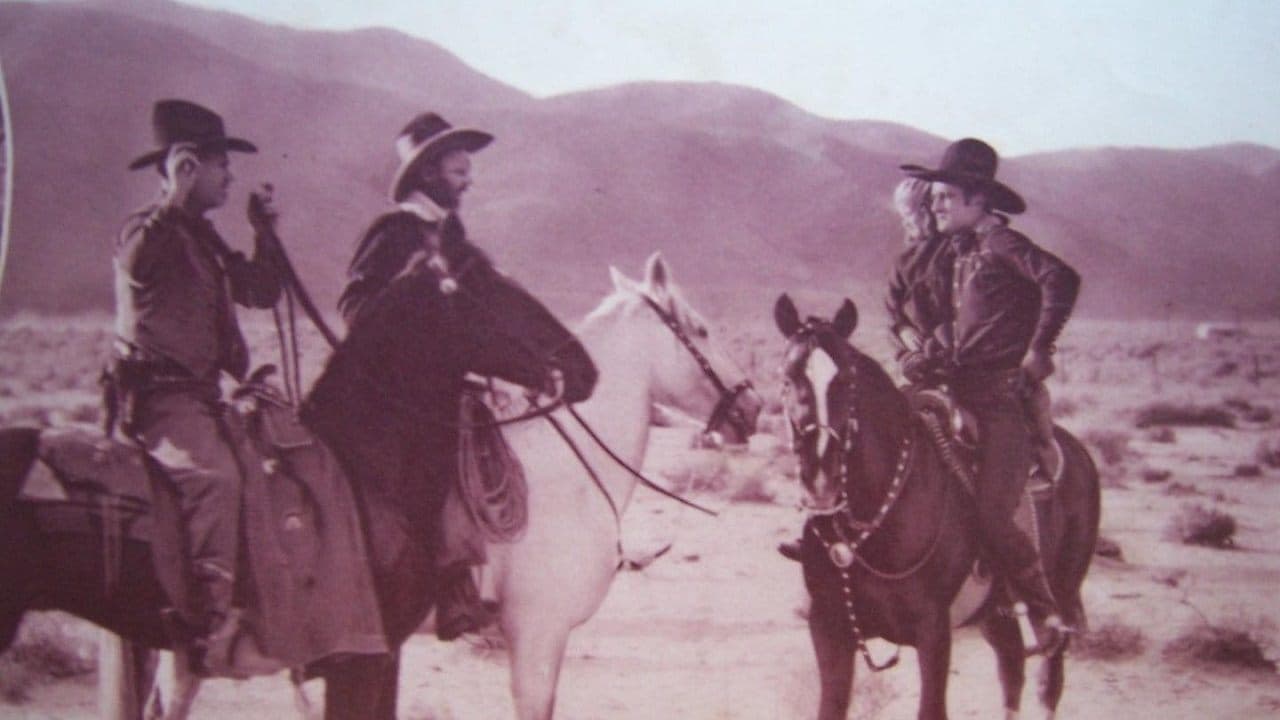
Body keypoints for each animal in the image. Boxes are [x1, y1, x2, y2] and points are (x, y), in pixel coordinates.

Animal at [773, 293, 1095, 717]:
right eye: (787, 378)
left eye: (846, 381)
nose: (820, 479)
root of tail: (1078, 452)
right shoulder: (828, 629)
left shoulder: (934, 632)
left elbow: (931, 708)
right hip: (996, 613)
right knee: (1012, 669)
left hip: (1060, 593)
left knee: (1048, 681)